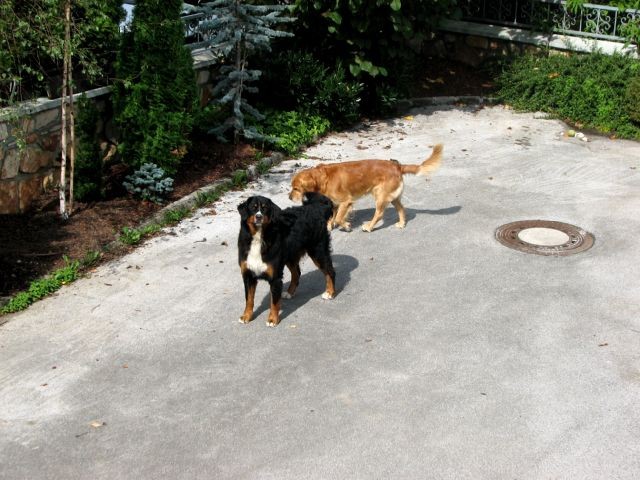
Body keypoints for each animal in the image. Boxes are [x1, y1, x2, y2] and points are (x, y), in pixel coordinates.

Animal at [235, 192, 336, 326]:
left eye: (265, 208)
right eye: (253, 207)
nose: (258, 217)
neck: (258, 237)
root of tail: (315, 209)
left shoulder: (275, 277)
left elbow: (274, 302)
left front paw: (272, 319)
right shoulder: (248, 275)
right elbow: (249, 299)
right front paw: (246, 316)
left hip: (318, 252)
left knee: (330, 271)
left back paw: (330, 292)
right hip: (290, 256)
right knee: (297, 273)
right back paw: (289, 292)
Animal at [292, 143, 444, 232]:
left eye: (295, 189)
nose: (289, 197)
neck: (323, 178)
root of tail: (397, 166)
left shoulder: (345, 201)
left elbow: (339, 218)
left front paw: (346, 226)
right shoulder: (334, 203)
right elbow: (332, 216)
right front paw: (329, 225)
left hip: (380, 195)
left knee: (379, 213)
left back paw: (369, 226)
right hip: (391, 196)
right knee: (401, 208)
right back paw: (401, 224)